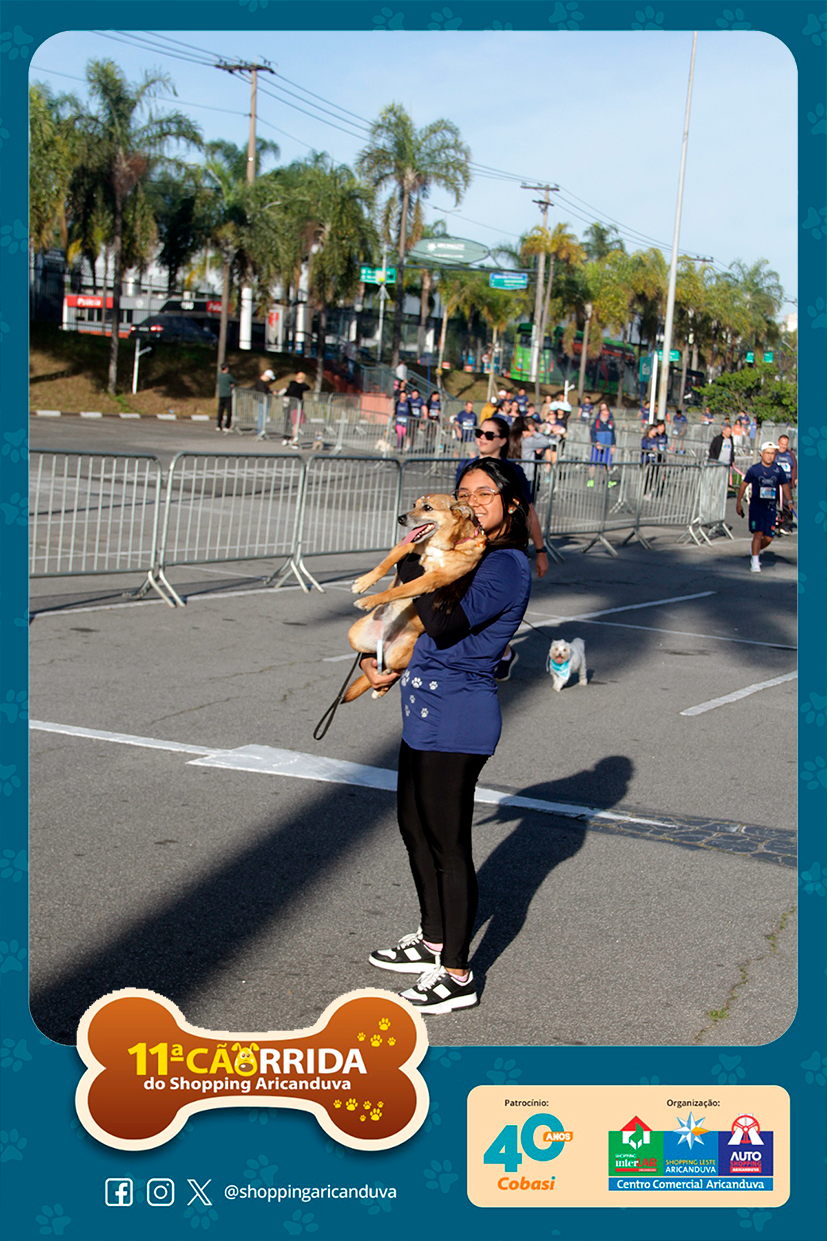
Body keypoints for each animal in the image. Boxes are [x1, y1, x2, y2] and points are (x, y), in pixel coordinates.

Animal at [343, 494, 487, 702]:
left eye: (427, 507)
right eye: (414, 504)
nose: (400, 518)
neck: (440, 545)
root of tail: (384, 641)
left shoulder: (430, 579)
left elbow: (397, 591)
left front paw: (369, 600)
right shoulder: (406, 544)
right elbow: (385, 564)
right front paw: (364, 582)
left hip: (397, 655)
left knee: (397, 670)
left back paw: (382, 686)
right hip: (354, 635)